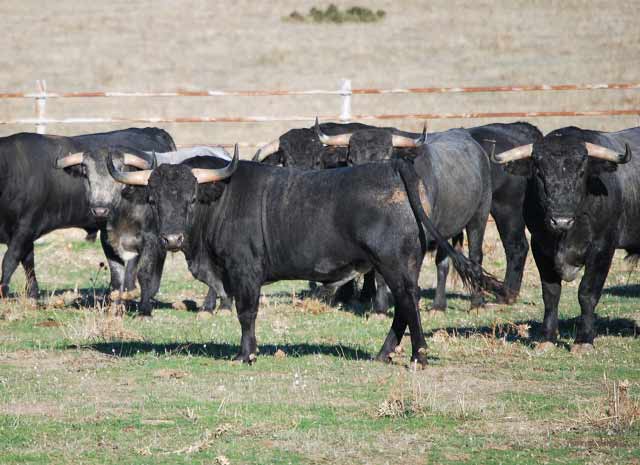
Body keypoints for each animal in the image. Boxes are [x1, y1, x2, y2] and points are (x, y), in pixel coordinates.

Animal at [0, 129, 175, 298]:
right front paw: (33, 293)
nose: (100, 209)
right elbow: (28, 261)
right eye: (86, 173)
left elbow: (9, 260)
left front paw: (4, 293)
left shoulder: (25, 228)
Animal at [111, 149, 504, 366]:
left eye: (191, 198)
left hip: (394, 263)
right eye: (153, 199)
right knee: (404, 308)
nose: (172, 239)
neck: (221, 198)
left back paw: (417, 356)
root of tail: (394, 167)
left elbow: (246, 312)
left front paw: (246, 354)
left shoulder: (244, 271)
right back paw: (384, 354)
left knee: (408, 303)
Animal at [255, 121, 540, 306]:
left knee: (498, 251)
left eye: (316, 160)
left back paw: (491, 299)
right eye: (351, 158)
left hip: (493, 214)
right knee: (447, 260)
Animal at [492, 125, 636, 350]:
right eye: (539, 172)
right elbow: (551, 293)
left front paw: (584, 340)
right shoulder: (540, 248)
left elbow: (587, 292)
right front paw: (547, 338)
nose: (561, 220)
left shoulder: (603, 248)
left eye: (582, 172)